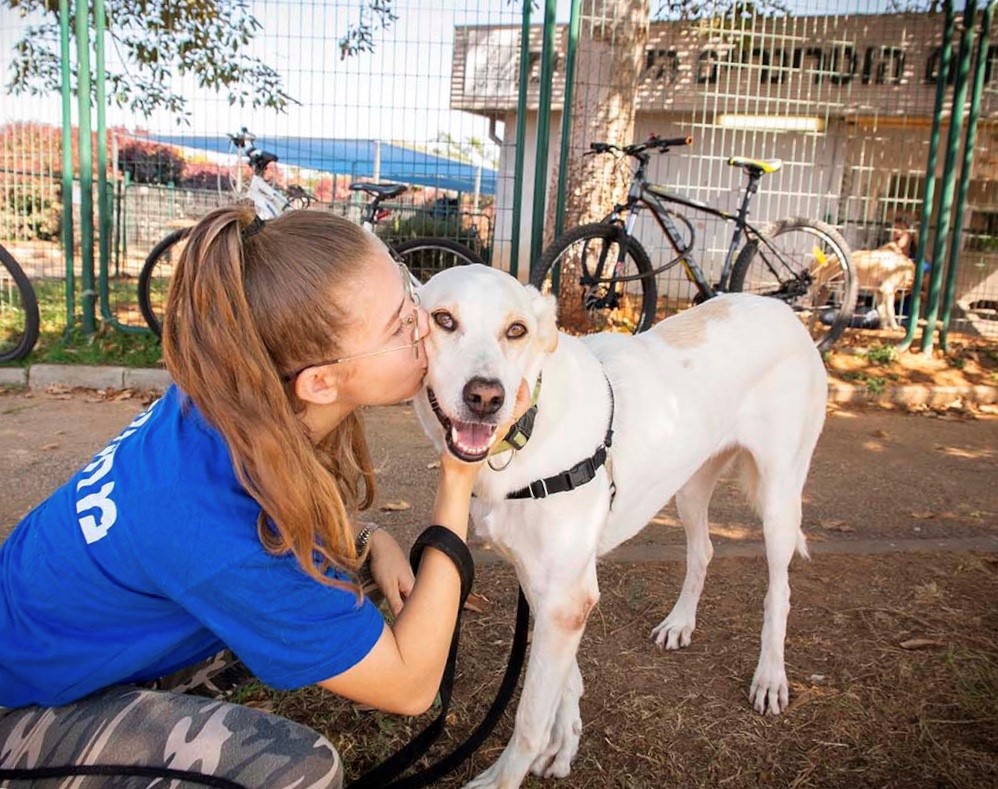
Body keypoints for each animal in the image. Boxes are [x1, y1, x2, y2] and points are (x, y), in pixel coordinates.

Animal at [414, 266, 828, 788]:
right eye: (443, 320)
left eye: (517, 330)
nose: (486, 397)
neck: (530, 429)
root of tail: (782, 309)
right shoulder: (549, 589)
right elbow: (564, 679)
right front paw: (565, 742)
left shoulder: (567, 597)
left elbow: (529, 718)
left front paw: (506, 776)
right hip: (689, 487)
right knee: (703, 551)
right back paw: (680, 623)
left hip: (778, 498)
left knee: (780, 590)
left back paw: (771, 675)